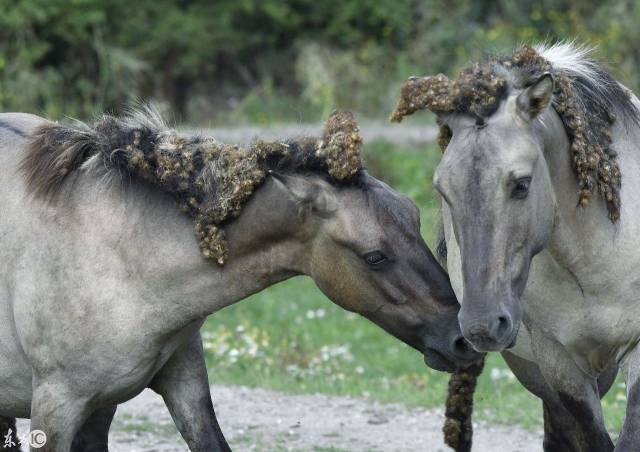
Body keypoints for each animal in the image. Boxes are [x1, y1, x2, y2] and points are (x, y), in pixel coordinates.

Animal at [0, 107, 480, 450]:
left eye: (415, 217)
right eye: (375, 256)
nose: (461, 339)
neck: (124, 257)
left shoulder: (171, 385)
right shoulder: (59, 409)